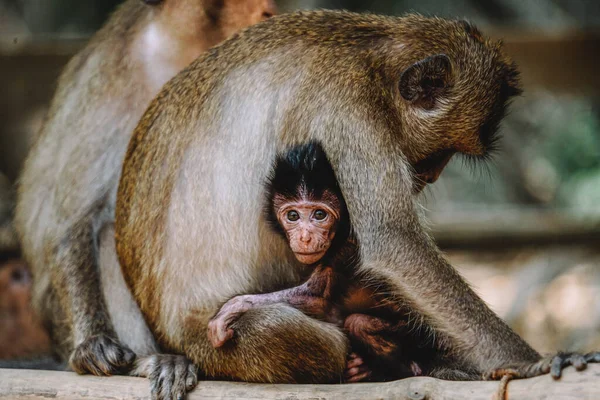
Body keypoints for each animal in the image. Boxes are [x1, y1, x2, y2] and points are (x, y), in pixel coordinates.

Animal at [15, 0, 274, 396]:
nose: (268, 13)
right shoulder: (110, 78)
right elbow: (69, 220)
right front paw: (93, 343)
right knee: (106, 236)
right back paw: (150, 361)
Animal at [209, 141, 428, 382]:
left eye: (320, 215)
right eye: (293, 216)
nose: (305, 237)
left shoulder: (347, 248)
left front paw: (234, 307)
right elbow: (319, 299)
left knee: (358, 323)